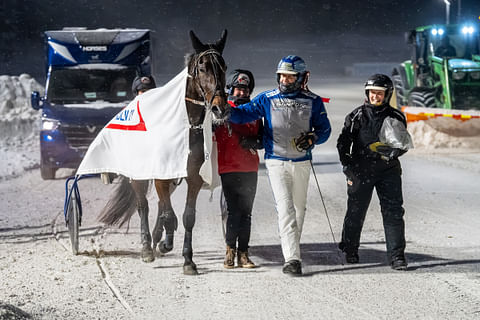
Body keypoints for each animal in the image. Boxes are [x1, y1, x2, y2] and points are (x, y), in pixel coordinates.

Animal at [98, 30, 229, 276]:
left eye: (224, 66)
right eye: (203, 67)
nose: (220, 107)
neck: (185, 126)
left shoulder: (193, 176)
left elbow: (187, 216)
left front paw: (187, 259)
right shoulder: (160, 174)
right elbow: (166, 213)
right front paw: (163, 241)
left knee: (160, 204)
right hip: (140, 173)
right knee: (144, 205)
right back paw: (147, 246)